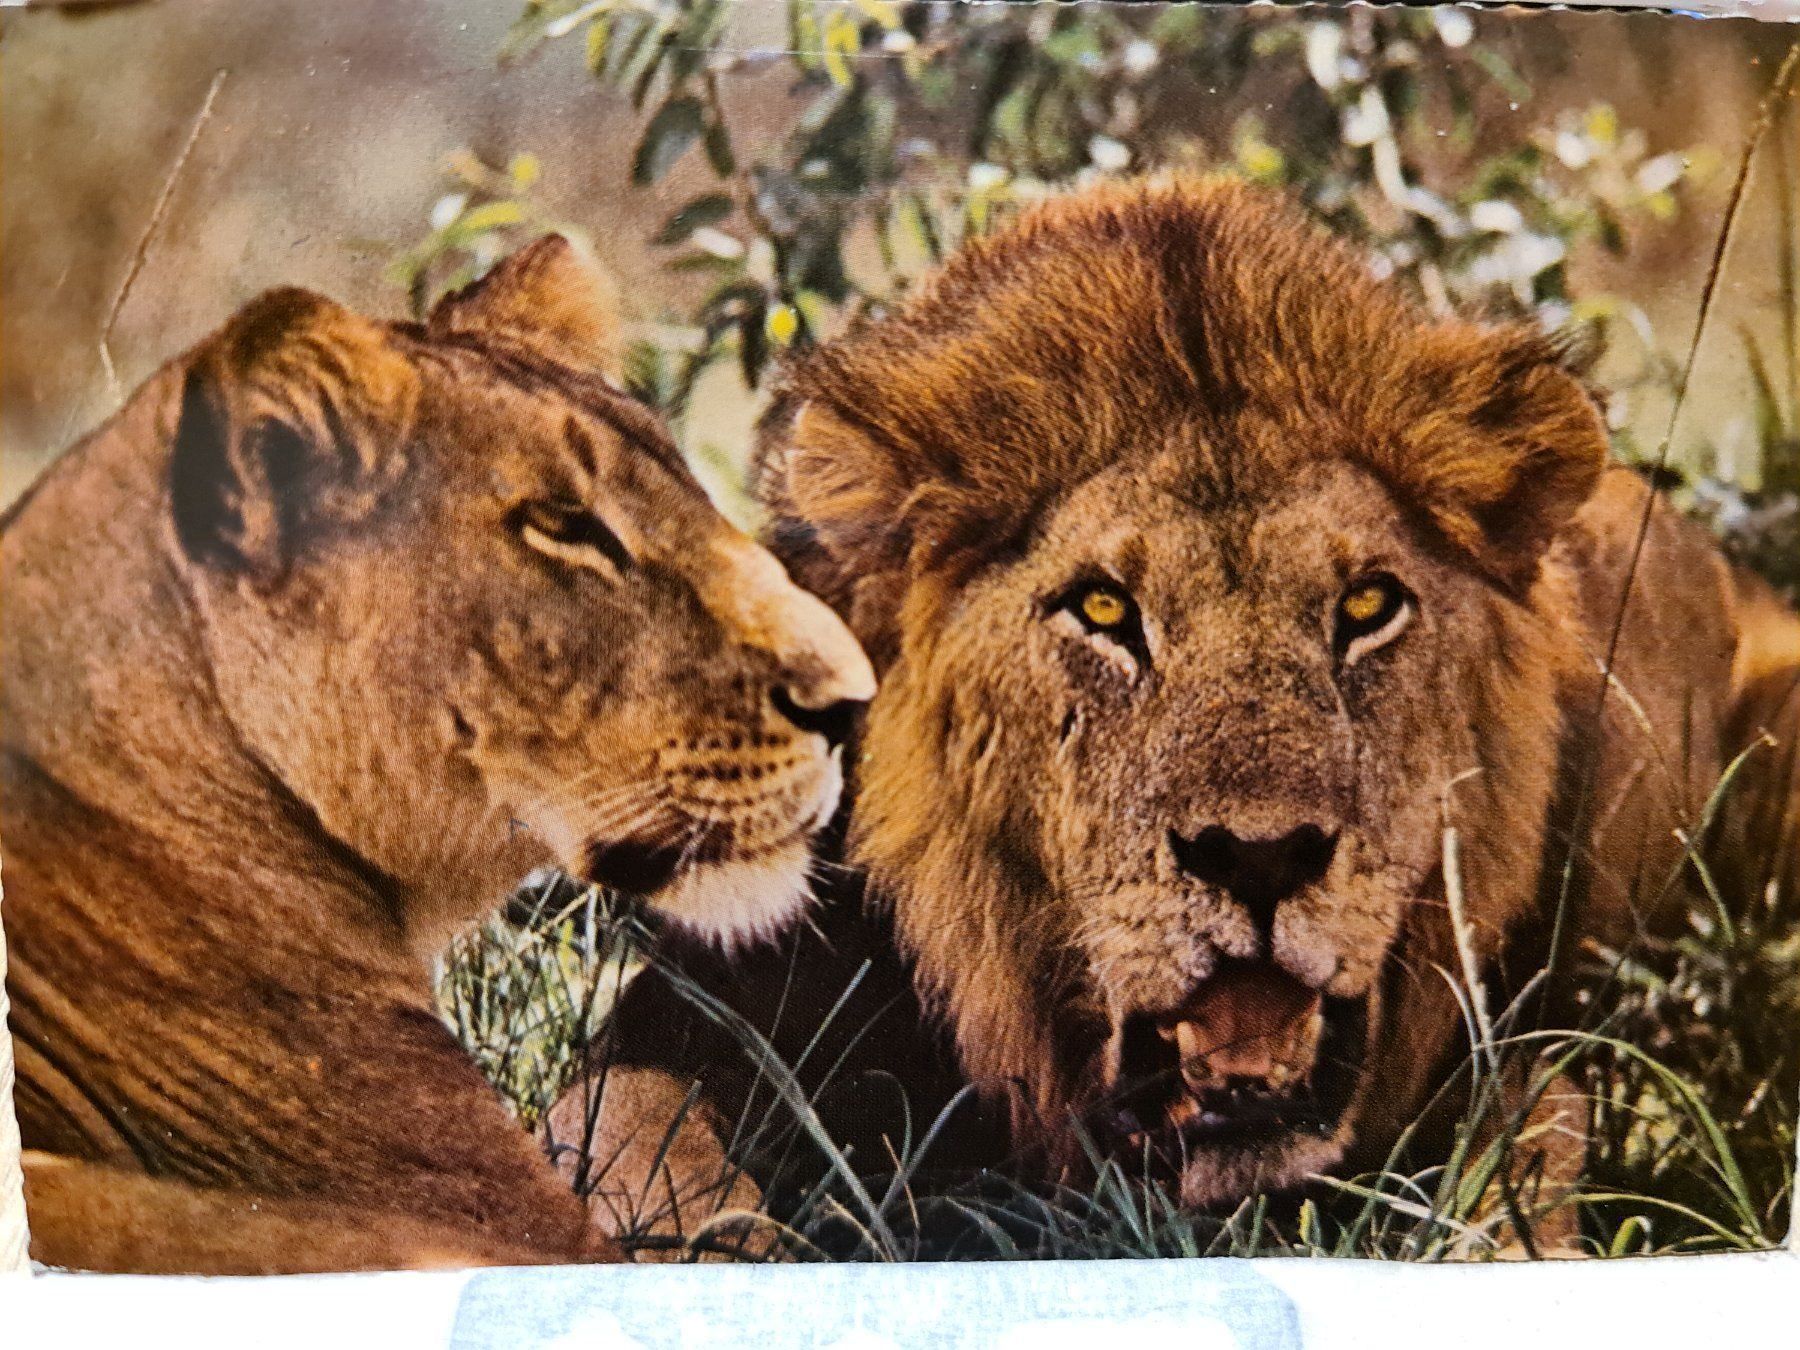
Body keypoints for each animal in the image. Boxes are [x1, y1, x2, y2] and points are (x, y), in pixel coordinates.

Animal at [548, 177, 1799, 1256]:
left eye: (1367, 605)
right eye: (1104, 608)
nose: (1259, 856)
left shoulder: (1529, 1030)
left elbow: (1520, 1181)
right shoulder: (715, 994)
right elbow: (627, 1137)